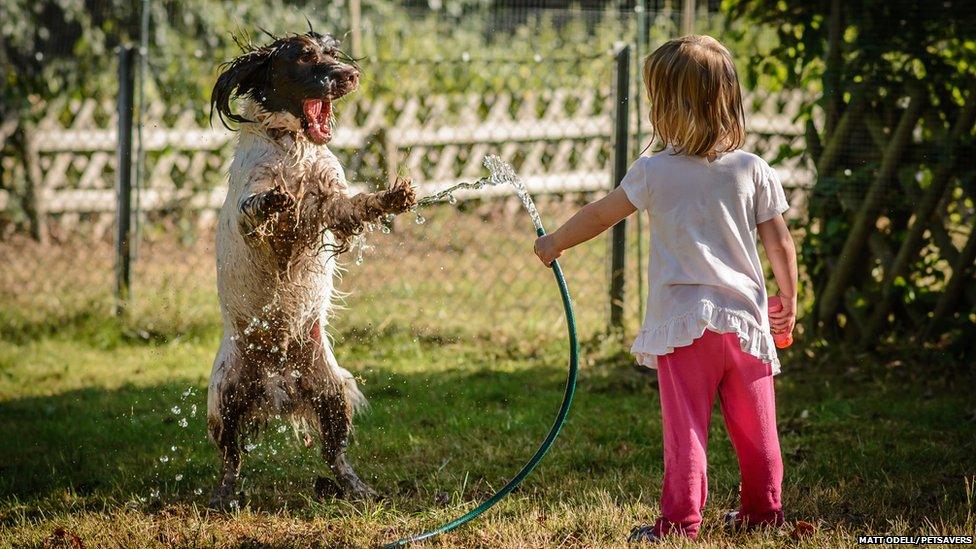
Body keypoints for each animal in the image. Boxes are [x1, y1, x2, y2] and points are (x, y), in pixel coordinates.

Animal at [208, 27, 414, 508]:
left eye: (333, 52)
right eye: (303, 57)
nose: (350, 75)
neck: (295, 147)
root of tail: (278, 387)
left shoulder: (330, 202)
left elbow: (354, 204)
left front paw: (391, 197)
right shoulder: (253, 208)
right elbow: (255, 208)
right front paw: (273, 201)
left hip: (332, 391)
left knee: (335, 455)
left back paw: (358, 489)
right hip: (226, 395)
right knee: (231, 459)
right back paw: (225, 496)